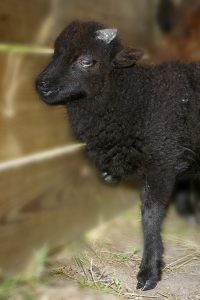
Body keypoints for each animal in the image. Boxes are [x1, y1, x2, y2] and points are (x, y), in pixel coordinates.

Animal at [35, 19, 200, 290]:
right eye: (56, 52)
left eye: (87, 60)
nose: (41, 85)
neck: (137, 96)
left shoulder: (161, 162)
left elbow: (151, 216)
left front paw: (148, 273)